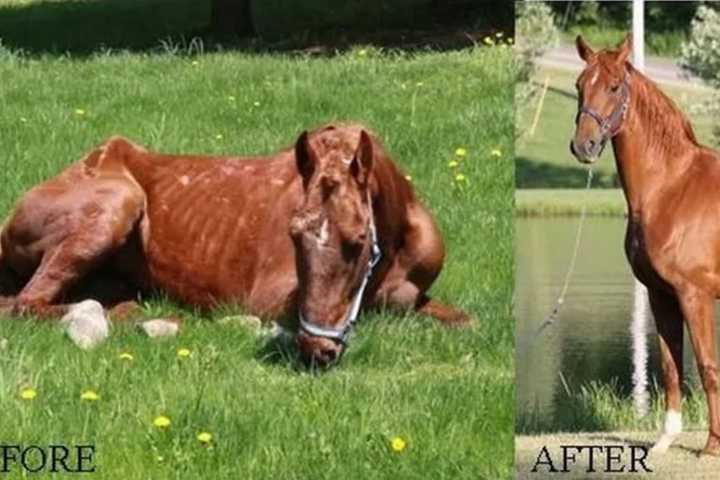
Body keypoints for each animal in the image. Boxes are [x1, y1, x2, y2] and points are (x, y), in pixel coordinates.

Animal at [0, 123, 470, 364]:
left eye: (356, 241)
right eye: (293, 235)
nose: (316, 351)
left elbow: (463, 320)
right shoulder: (270, 300)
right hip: (117, 203)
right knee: (28, 303)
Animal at [572, 35, 720, 456]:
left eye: (614, 87)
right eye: (578, 85)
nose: (584, 145)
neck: (673, 189)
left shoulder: (694, 295)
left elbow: (706, 366)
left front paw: (711, 446)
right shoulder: (661, 294)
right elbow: (671, 366)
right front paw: (666, 440)